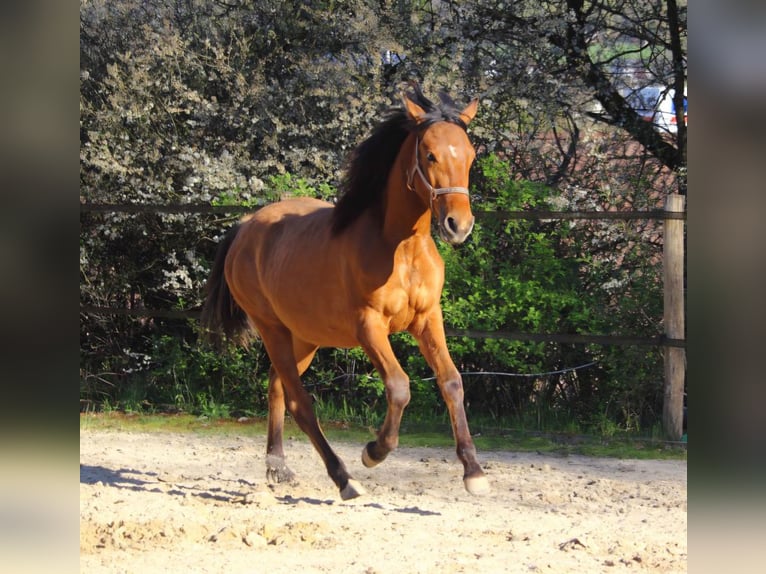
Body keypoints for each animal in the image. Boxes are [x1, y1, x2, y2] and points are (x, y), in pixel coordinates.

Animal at [200, 84, 490, 500]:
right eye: (430, 154)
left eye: (469, 155)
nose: (458, 225)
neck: (402, 248)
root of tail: (245, 226)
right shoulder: (368, 326)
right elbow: (399, 387)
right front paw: (374, 451)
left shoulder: (427, 319)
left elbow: (452, 383)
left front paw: (473, 471)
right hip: (272, 330)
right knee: (299, 401)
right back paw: (344, 478)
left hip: (304, 337)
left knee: (277, 387)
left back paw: (278, 466)